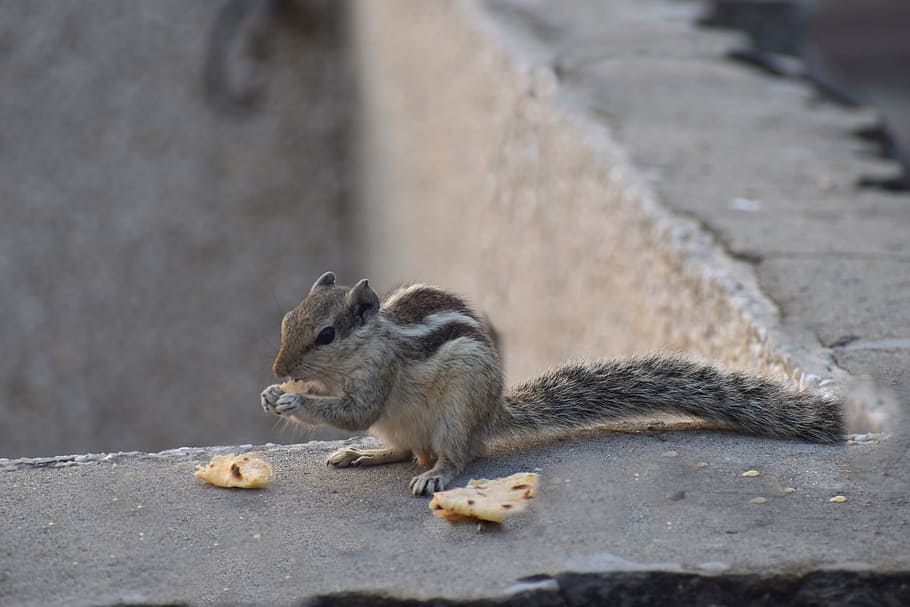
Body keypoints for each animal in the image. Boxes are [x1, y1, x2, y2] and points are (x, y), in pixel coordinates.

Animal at [260, 272, 844, 496]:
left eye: (326, 334)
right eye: (287, 320)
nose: (276, 370)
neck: (372, 341)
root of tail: (491, 416)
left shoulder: (377, 377)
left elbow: (353, 411)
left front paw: (290, 399)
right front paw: (274, 396)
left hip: (457, 413)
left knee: (453, 456)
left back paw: (437, 474)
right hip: (404, 427)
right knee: (404, 451)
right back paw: (364, 454)